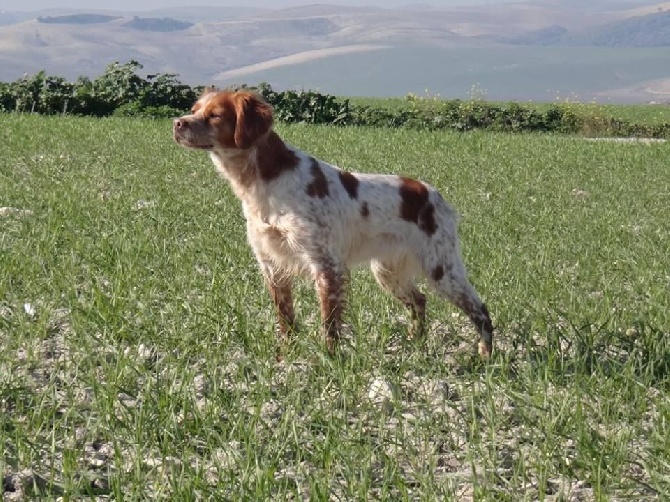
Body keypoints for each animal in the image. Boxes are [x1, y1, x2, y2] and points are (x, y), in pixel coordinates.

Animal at [172, 89, 494, 356]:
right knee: (420, 301)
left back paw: (484, 356)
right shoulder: (272, 264)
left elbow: (329, 323)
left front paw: (329, 360)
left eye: (215, 115)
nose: (177, 123)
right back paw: (414, 343)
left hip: (441, 268)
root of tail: (434, 194)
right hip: (388, 271)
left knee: (480, 309)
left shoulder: (326, 264)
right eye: (194, 109)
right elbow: (285, 318)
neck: (260, 180)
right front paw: (286, 358)